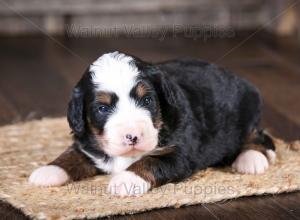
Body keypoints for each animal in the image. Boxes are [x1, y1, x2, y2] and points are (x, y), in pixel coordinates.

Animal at [29, 51, 276, 196]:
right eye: (103, 108)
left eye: (147, 100)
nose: (132, 136)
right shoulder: (88, 144)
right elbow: (72, 155)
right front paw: (49, 170)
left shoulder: (180, 154)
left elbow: (150, 161)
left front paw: (126, 179)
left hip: (247, 110)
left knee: (259, 135)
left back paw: (251, 159)